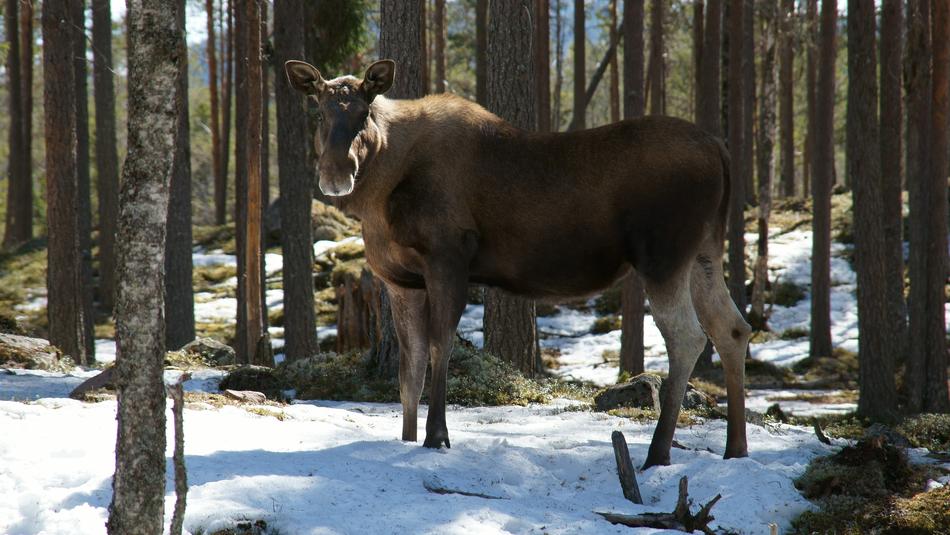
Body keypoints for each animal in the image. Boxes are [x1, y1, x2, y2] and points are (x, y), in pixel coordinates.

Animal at [284, 59, 751, 469]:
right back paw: (736, 449)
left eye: (364, 112)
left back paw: (658, 453)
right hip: (704, 253)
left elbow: (440, 347)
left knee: (689, 337)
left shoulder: (447, 257)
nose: (335, 174)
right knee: (733, 328)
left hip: (662, 256)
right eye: (319, 111)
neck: (380, 198)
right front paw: (406, 438)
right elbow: (409, 367)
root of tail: (723, 152)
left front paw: (437, 437)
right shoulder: (400, 280)